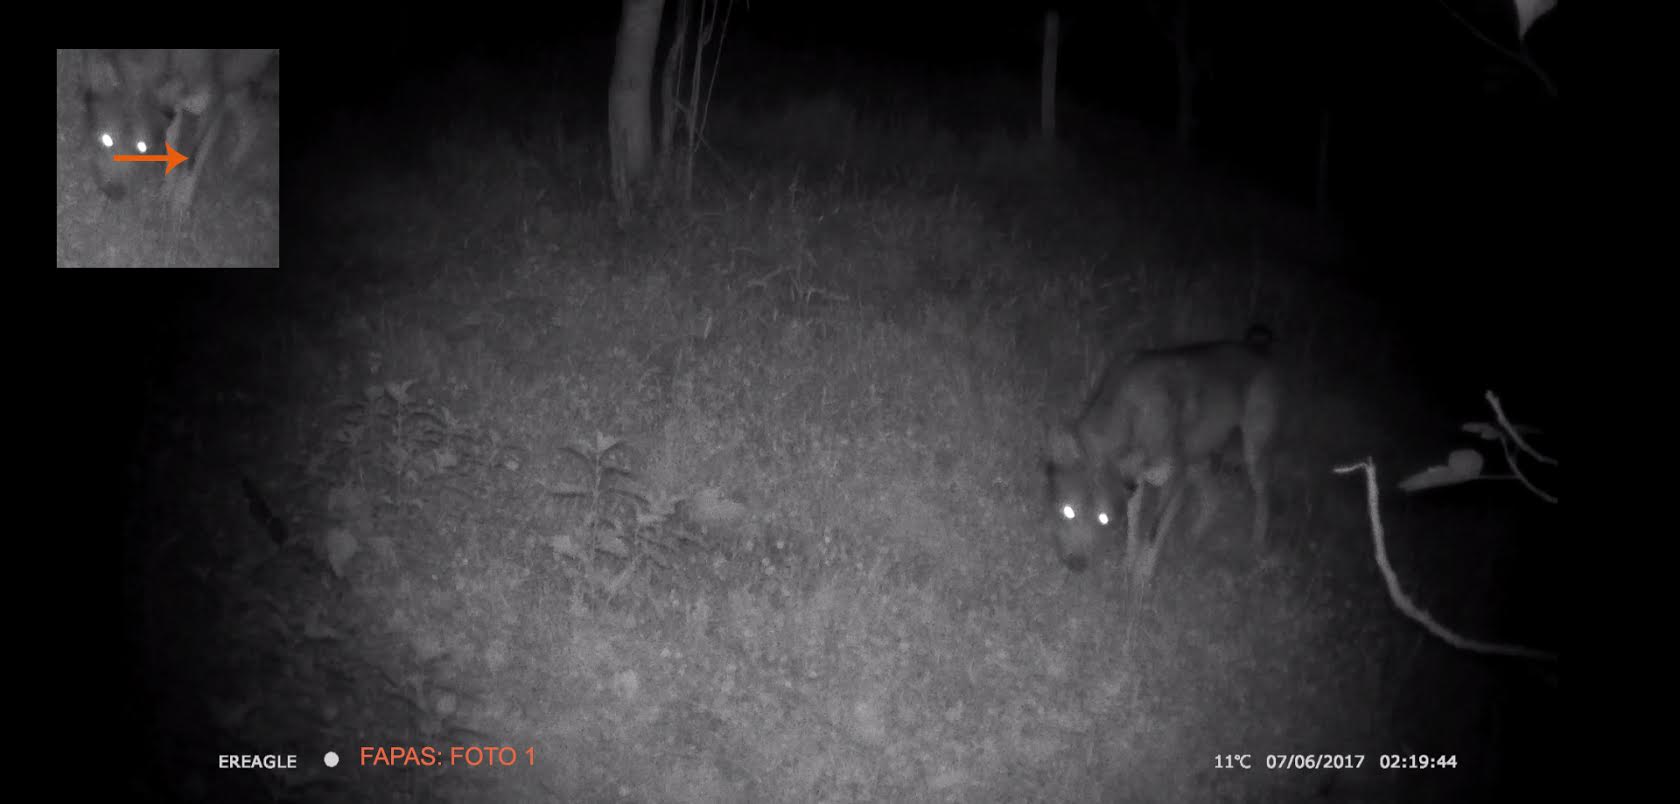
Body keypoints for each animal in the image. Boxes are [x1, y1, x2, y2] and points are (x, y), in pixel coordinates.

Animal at [83, 49, 278, 214]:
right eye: (106, 139)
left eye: (142, 148)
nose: (114, 192)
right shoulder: (181, 108)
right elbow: (172, 148)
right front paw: (164, 196)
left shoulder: (214, 102)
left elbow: (193, 159)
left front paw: (180, 205)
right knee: (253, 121)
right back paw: (232, 165)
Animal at [1047, 324, 1280, 586]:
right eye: (1067, 511)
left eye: (1103, 519)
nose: (1076, 564)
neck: (1132, 412)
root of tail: (1258, 347)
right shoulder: (1138, 483)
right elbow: (1134, 530)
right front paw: (1126, 569)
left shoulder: (1174, 481)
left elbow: (1153, 532)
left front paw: (1141, 582)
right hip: (1197, 462)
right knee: (1215, 497)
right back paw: (1192, 540)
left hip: (1251, 455)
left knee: (1264, 499)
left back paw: (1255, 547)